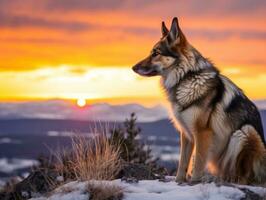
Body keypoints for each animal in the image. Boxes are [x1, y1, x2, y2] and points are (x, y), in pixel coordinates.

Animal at [132, 17, 264, 186]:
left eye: (156, 53)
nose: (133, 67)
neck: (186, 77)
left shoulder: (202, 133)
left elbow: (199, 163)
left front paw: (194, 182)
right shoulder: (186, 134)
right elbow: (183, 162)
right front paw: (179, 182)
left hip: (245, 132)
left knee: (245, 177)